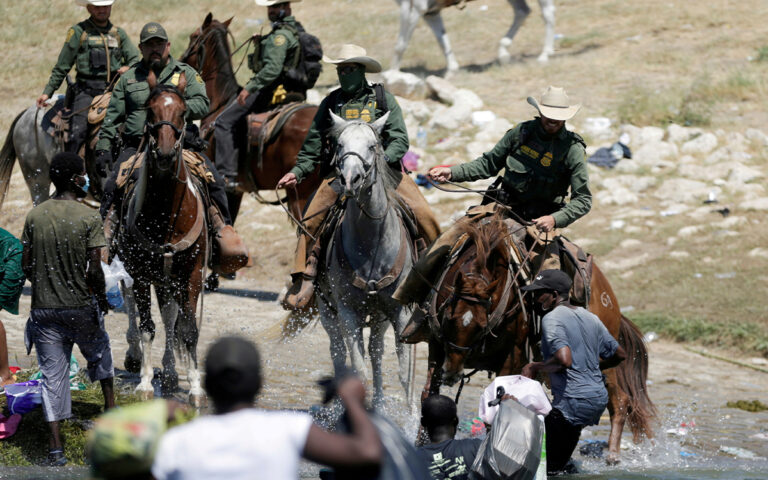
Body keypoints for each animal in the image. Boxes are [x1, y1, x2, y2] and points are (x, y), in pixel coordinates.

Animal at [118, 71, 207, 406]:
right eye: (150, 110)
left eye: (182, 112)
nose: (167, 153)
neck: (167, 215)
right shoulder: (142, 275)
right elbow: (147, 328)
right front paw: (145, 383)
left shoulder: (192, 274)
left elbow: (189, 330)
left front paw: (196, 388)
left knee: (171, 318)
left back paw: (170, 374)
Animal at [180, 13, 320, 223]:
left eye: (193, 36)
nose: (180, 59)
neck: (222, 102)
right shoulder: (237, 191)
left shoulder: (227, 188)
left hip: (301, 192)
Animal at [316, 111, 416, 408]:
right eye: (339, 145)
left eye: (373, 145)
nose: (351, 179)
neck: (372, 247)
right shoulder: (347, 312)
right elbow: (358, 370)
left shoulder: (400, 312)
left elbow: (404, 373)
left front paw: (411, 417)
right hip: (328, 312)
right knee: (338, 353)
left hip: (379, 317)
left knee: (376, 351)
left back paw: (380, 401)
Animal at [392, 0, 556, 74]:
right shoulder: (430, 12)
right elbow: (442, 39)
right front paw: (452, 70)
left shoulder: (414, 8)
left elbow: (401, 45)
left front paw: (393, 75)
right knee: (522, 11)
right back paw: (503, 52)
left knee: (548, 12)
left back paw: (545, 55)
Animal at [420, 212, 656, 464]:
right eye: (448, 318)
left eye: (481, 324)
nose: (452, 373)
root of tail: (608, 295)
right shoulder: (438, 347)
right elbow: (428, 396)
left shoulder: (513, 356)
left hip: (605, 363)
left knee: (619, 400)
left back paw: (612, 454)